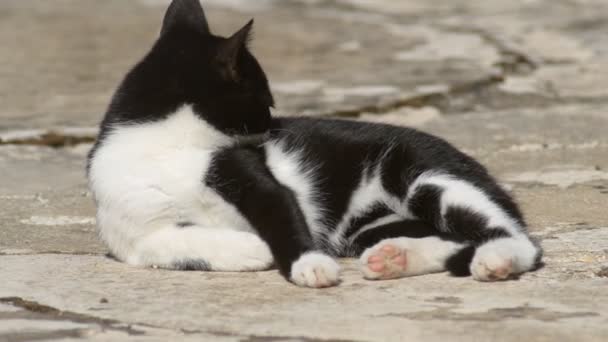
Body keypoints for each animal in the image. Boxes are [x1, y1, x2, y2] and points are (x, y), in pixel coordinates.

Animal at [86, 0, 540, 288]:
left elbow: (281, 211)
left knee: (516, 239)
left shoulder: (251, 175)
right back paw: (395, 258)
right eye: (266, 99)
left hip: (424, 175)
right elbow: (171, 243)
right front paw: (252, 249)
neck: (165, 145)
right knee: (453, 241)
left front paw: (307, 263)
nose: (273, 126)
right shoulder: (133, 232)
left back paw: (496, 259)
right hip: (370, 227)